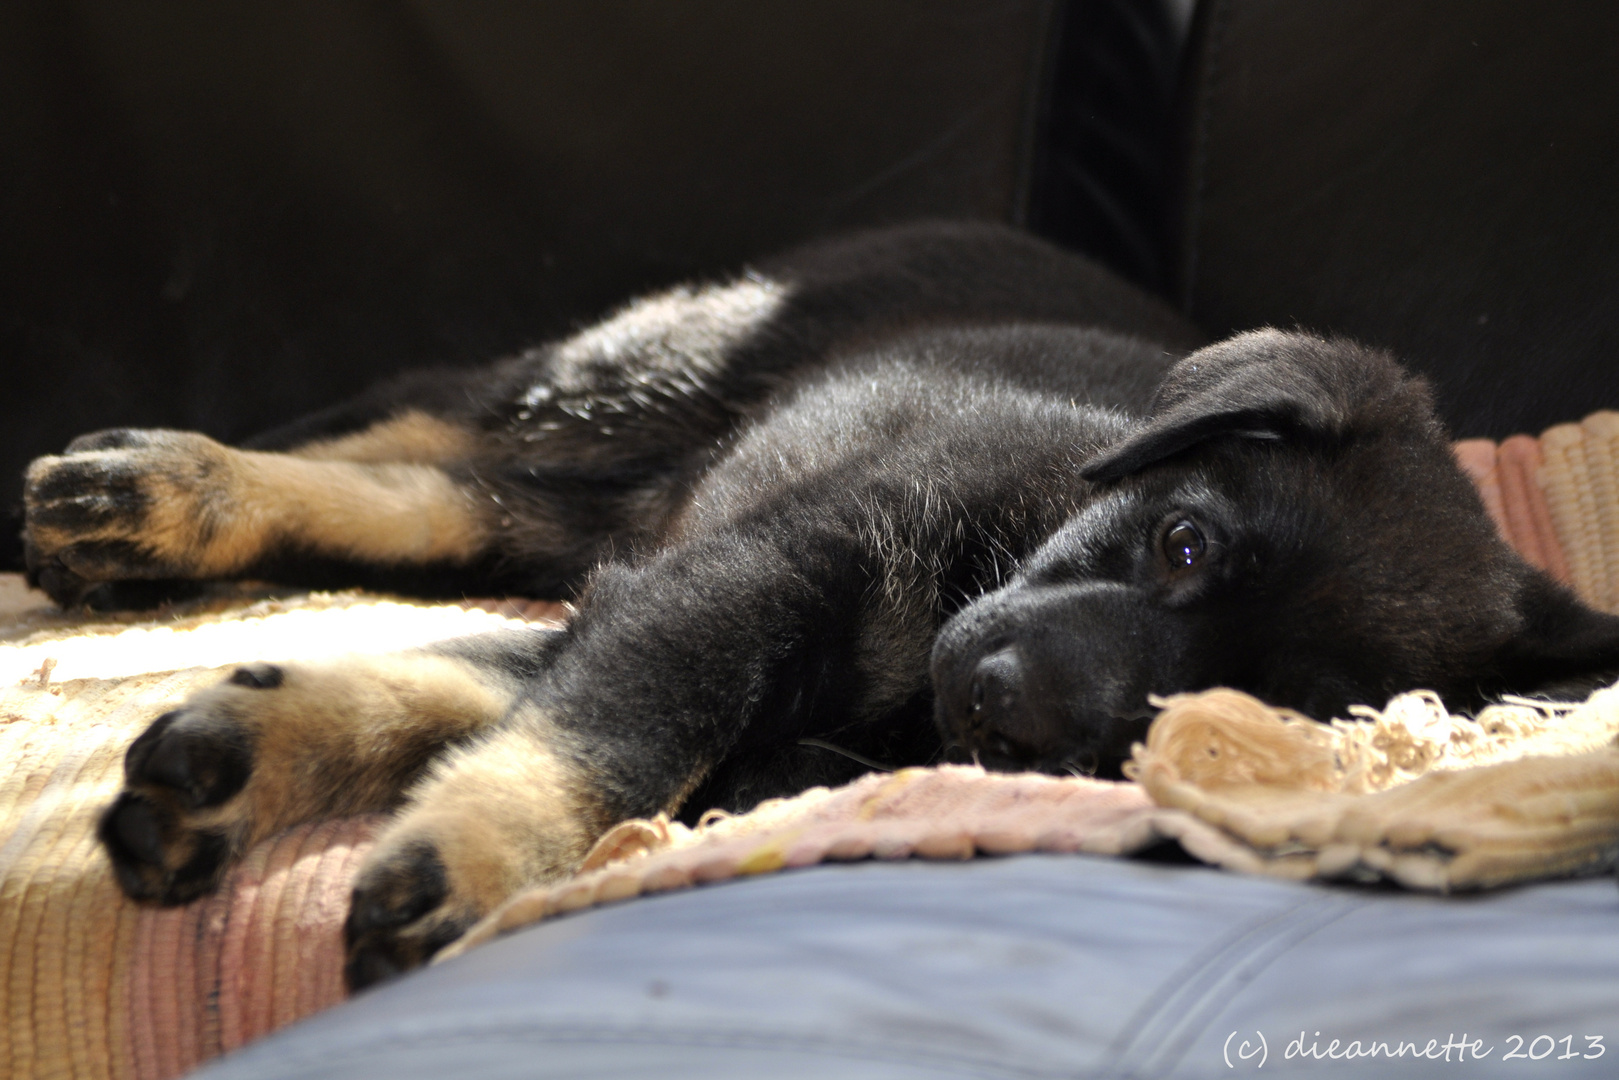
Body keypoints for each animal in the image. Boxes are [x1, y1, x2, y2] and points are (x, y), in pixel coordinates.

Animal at [22, 221, 1619, 990]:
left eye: (1240, 716)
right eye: (1179, 544)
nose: (1002, 712)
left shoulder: (658, 590)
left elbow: (470, 692)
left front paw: (238, 762)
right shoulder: (751, 574)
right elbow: (616, 733)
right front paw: (472, 866)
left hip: (600, 499)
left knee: (436, 500)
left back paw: (165, 514)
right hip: (639, 383)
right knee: (416, 433)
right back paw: (152, 486)